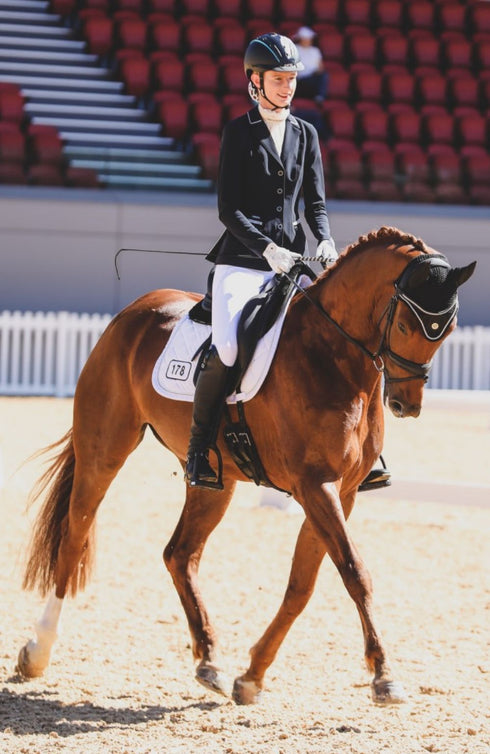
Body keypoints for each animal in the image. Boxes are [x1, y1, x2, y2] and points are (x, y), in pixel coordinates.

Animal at [16, 226, 475, 706]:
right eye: (404, 325)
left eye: (447, 331)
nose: (407, 406)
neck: (332, 355)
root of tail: (132, 311)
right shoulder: (316, 486)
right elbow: (354, 572)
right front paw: (384, 676)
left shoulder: (341, 492)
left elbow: (302, 585)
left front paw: (252, 675)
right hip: (104, 450)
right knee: (74, 537)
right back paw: (37, 651)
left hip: (213, 481)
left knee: (180, 555)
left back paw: (209, 662)